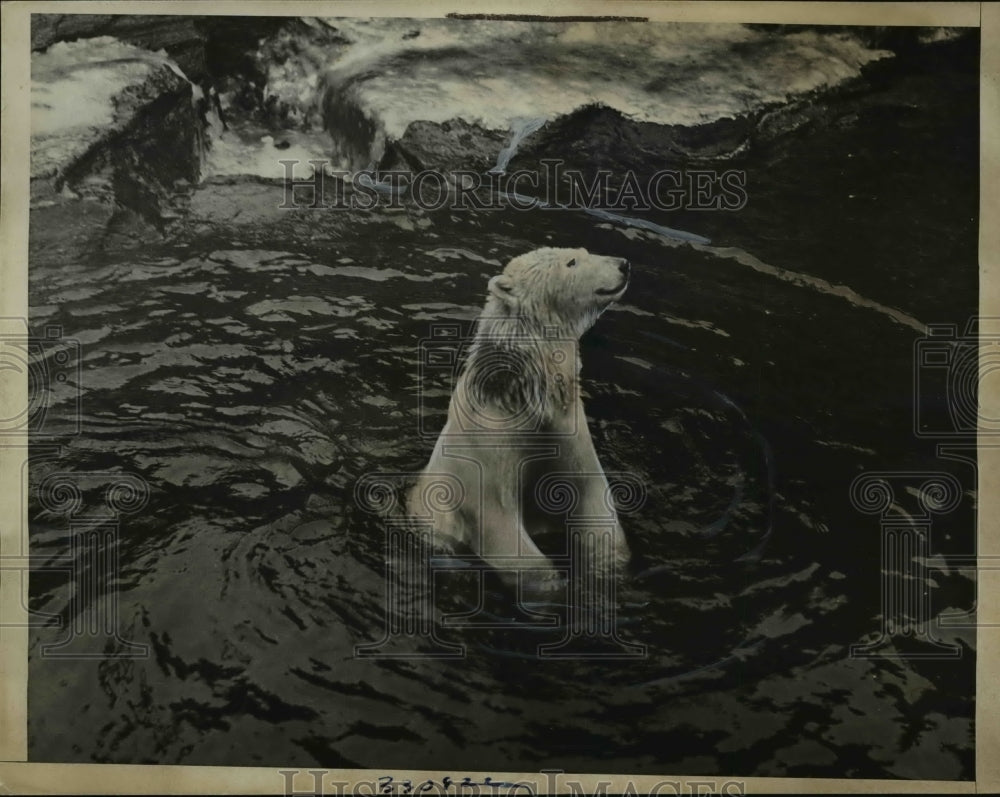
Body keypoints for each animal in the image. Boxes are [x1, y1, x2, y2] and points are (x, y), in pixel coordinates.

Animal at [408, 246, 628, 588]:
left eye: (583, 251)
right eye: (572, 262)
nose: (623, 264)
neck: (516, 397)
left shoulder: (567, 427)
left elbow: (592, 494)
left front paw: (607, 563)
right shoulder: (489, 449)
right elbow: (500, 526)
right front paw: (551, 581)